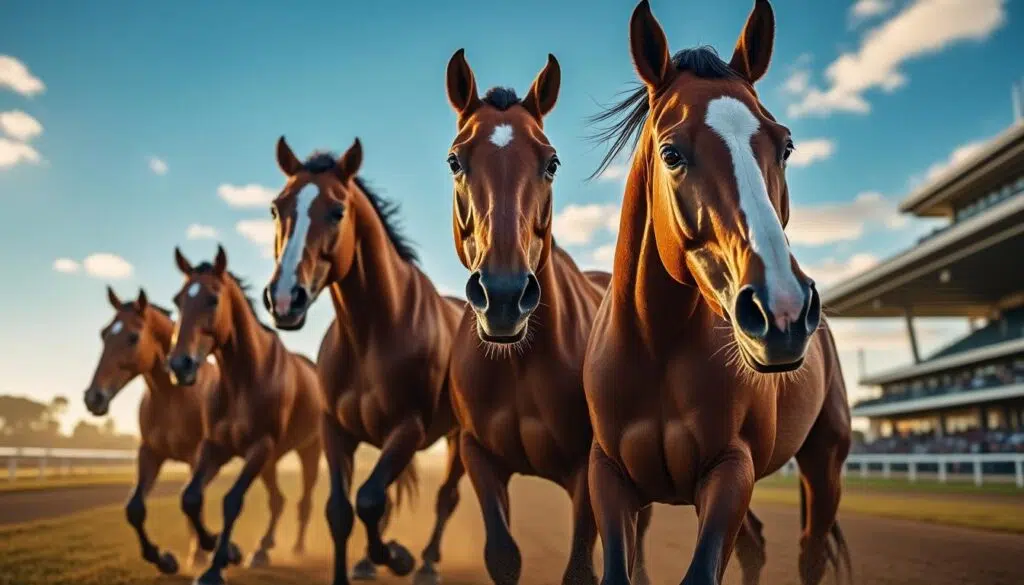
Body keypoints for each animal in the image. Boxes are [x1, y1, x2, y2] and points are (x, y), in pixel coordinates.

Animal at [83, 286, 218, 575]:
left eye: (133, 337)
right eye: (104, 333)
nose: (93, 398)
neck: (175, 396)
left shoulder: (200, 457)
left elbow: (193, 500)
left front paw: (204, 552)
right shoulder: (150, 453)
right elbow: (135, 509)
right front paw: (164, 559)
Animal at [167, 246, 324, 585]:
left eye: (213, 299)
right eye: (178, 300)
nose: (179, 365)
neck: (243, 378)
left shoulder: (259, 447)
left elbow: (231, 501)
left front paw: (215, 567)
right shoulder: (215, 447)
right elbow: (190, 497)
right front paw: (221, 548)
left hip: (308, 452)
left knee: (303, 502)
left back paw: (297, 548)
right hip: (271, 462)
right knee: (278, 500)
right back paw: (262, 550)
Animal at [262, 138, 465, 585]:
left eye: (338, 211)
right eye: (276, 208)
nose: (285, 298)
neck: (371, 335)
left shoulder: (408, 428)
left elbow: (369, 500)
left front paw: (399, 557)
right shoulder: (335, 432)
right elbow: (341, 511)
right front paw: (365, 561)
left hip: (459, 440)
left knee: (446, 498)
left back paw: (426, 563)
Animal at [442, 49, 654, 585]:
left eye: (551, 163)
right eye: (455, 160)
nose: (503, 295)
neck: (519, 362)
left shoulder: (587, 471)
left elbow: (580, 568)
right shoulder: (479, 457)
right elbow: (503, 556)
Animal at [582, 2, 853, 584]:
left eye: (785, 145)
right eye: (671, 153)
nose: (783, 310)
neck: (656, 349)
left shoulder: (731, 470)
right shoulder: (609, 476)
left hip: (825, 464)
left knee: (810, 552)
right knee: (755, 545)